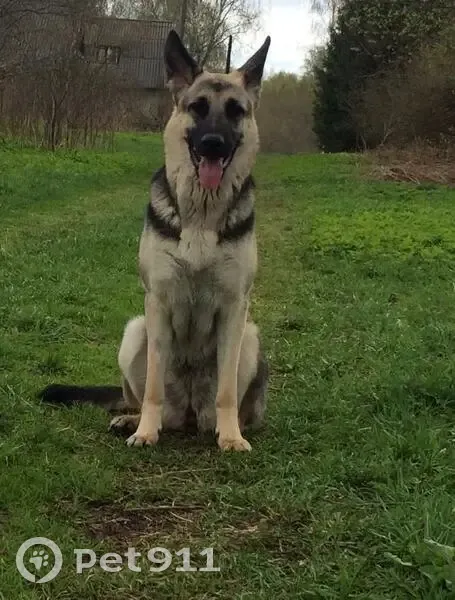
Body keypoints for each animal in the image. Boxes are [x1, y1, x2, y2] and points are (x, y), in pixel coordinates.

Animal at [40, 30, 271, 452]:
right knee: (152, 402)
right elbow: (152, 389)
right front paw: (145, 431)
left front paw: (231, 437)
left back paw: (223, 426)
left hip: (249, 336)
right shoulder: (158, 303)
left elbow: (227, 391)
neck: (201, 213)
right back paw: (132, 421)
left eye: (235, 111)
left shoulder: (235, 307)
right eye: (198, 108)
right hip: (136, 332)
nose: (213, 143)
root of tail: (191, 413)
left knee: (220, 403)